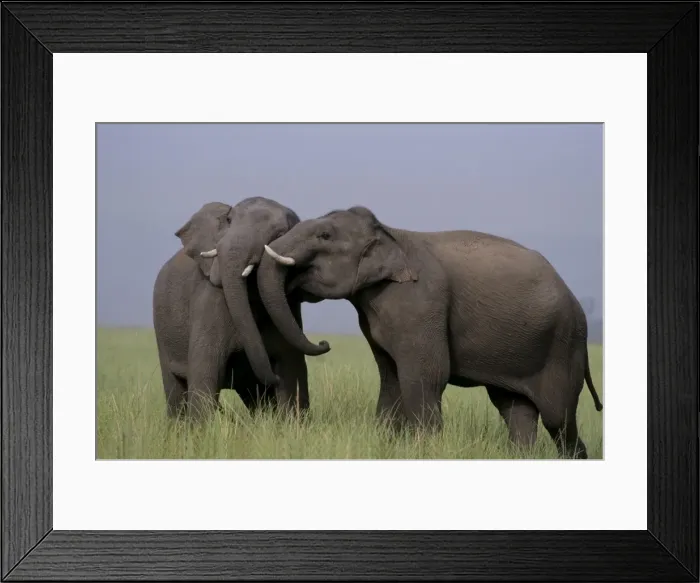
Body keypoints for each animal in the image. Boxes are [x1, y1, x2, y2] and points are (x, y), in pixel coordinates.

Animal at [152, 197, 330, 420]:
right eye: (228, 220)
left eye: (280, 235)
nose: (324, 343)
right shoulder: (211, 299)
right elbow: (206, 369)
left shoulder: (289, 309)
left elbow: (290, 364)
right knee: (174, 391)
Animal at [256, 205, 603, 459]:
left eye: (324, 235)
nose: (324, 342)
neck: (389, 233)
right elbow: (391, 377)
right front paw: (386, 443)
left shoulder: (421, 304)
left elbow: (425, 377)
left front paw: (425, 450)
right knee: (514, 409)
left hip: (564, 343)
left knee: (558, 418)